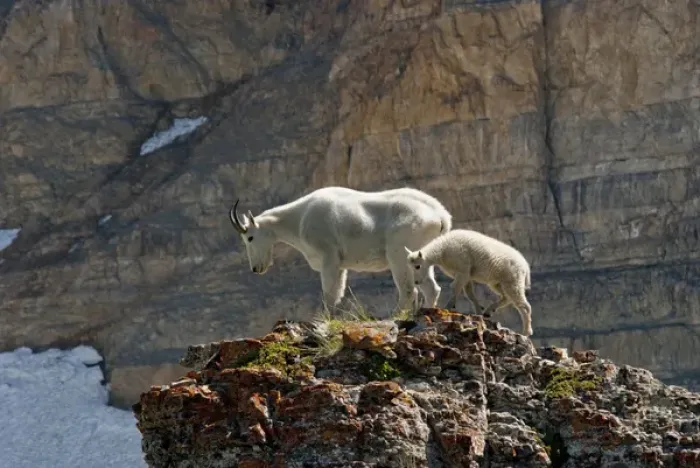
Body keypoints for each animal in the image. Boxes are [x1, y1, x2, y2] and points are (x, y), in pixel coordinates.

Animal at [228, 186, 453, 314]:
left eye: (249, 237)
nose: (256, 268)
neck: (299, 218)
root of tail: (440, 216)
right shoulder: (340, 265)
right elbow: (337, 293)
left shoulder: (329, 258)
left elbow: (329, 294)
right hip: (421, 258)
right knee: (431, 288)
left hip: (399, 253)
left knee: (408, 291)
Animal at [405, 229, 533, 336]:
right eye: (410, 267)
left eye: (418, 266)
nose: (416, 281)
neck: (442, 251)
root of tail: (525, 266)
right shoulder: (466, 275)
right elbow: (470, 294)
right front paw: (478, 312)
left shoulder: (463, 271)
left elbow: (455, 288)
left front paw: (448, 307)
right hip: (498, 282)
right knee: (507, 298)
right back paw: (488, 311)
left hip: (513, 280)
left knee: (523, 305)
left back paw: (526, 332)